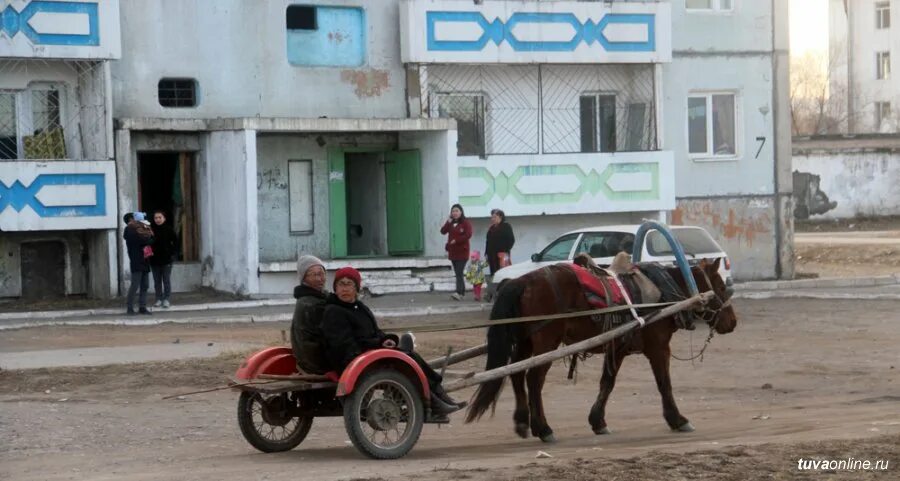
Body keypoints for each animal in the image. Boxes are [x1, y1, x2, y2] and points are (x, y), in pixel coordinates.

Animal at [464, 256, 740, 440]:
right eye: (721, 287)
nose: (733, 322)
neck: (663, 293)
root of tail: (522, 281)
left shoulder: (618, 347)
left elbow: (607, 382)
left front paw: (597, 421)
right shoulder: (658, 346)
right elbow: (664, 383)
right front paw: (678, 419)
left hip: (525, 341)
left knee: (517, 374)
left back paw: (522, 422)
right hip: (546, 342)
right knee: (534, 379)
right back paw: (543, 428)